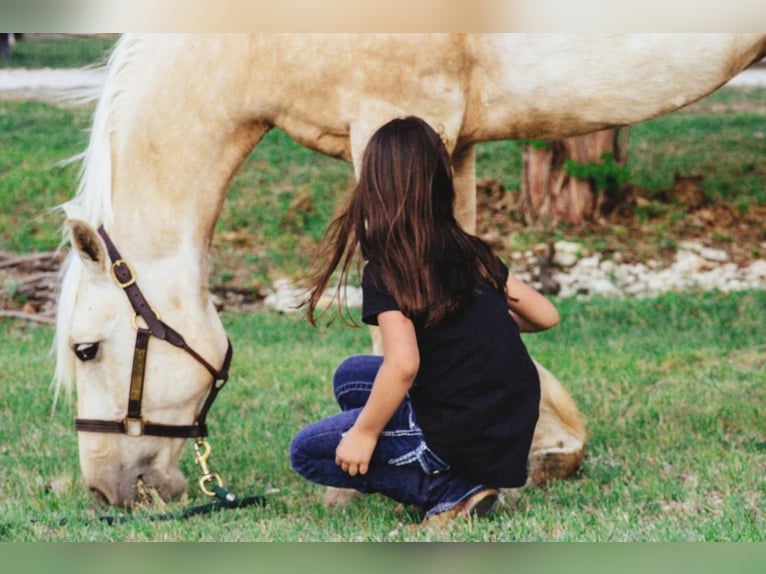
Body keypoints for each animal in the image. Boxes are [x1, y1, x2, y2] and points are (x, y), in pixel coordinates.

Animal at [54, 33, 766, 508]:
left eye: (86, 349)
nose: (107, 491)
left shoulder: (395, 111)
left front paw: (361, 479)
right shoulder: (457, 140)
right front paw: (547, 444)